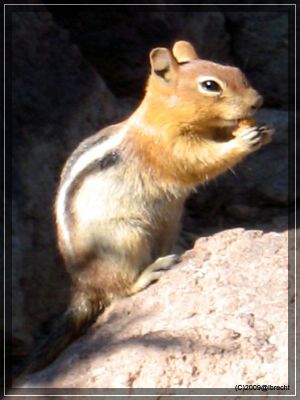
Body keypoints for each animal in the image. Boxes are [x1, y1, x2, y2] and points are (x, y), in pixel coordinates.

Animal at [14, 39, 274, 378]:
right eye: (210, 86)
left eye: (236, 71)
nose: (258, 102)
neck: (159, 118)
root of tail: (82, 286)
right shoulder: (167, 148)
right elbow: (200, 161)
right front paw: (242, 141)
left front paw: (262, 131)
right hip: (127, 239)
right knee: (118, 291)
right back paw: (150, 272)